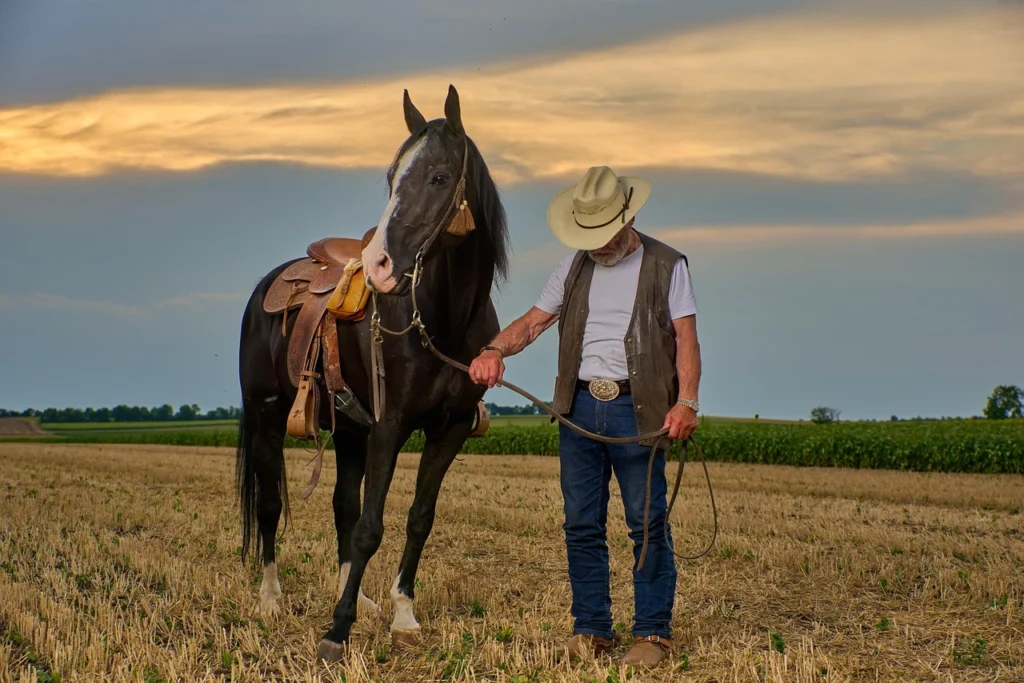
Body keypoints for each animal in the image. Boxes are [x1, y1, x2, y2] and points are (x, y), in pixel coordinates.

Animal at [234, 84, 510, 663]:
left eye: (439, 177)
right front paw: (337, 631)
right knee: (270, 506)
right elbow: (369, 527)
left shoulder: (448, 431)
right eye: (391, 178)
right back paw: (270, 600)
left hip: (348, 432)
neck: (444, 322)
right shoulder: (389, 426)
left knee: (342, 504)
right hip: (267, 415)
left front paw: (401, 613)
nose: (380, 265)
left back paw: (355, 594)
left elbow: (416, 519)